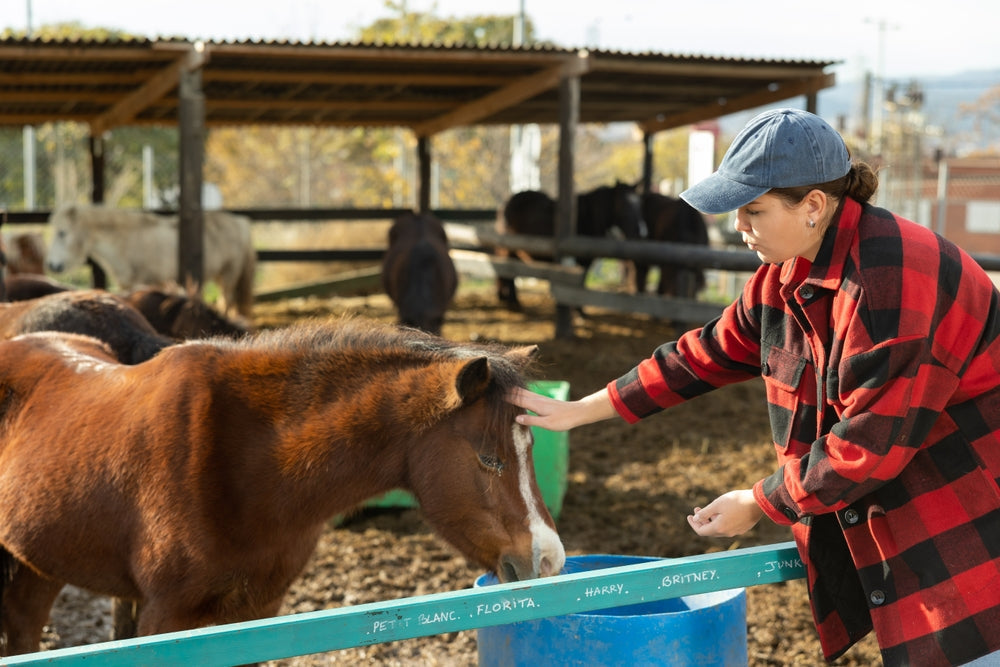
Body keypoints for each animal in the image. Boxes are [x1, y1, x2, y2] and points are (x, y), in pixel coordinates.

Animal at [0, 317, 565, 655]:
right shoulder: (165, 616)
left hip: (39, 562)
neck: (249, 470)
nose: (550, 560)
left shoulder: (258, 613)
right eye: (489, 458)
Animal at [45, 204, 257, 319]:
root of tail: (240, 222)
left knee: (227, 302)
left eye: (62, 233)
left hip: (229, 276)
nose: (51, 265)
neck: (126, 240)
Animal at [495, 182, 646, 310]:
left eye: (639, 206)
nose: (639, 232)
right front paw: (579, 312)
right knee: (508, 273)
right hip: (508, 249)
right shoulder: (580, 261)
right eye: (623, 206)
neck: (588, 216)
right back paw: (513, 302)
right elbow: (578, 287)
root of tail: (505, 205)